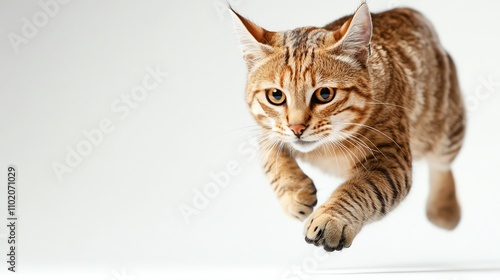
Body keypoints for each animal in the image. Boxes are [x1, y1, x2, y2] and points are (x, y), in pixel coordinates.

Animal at [230, 2, 464, 252]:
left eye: (324, 94)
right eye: (276, 95)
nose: (297, 128)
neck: (324, 149)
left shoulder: (391, 159)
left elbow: (362, 188)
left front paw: (332, 217)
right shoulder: (267, 131)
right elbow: (271, 158)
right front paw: (294, 192)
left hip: (448, 128)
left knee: (441, 164)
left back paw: (444, 208)